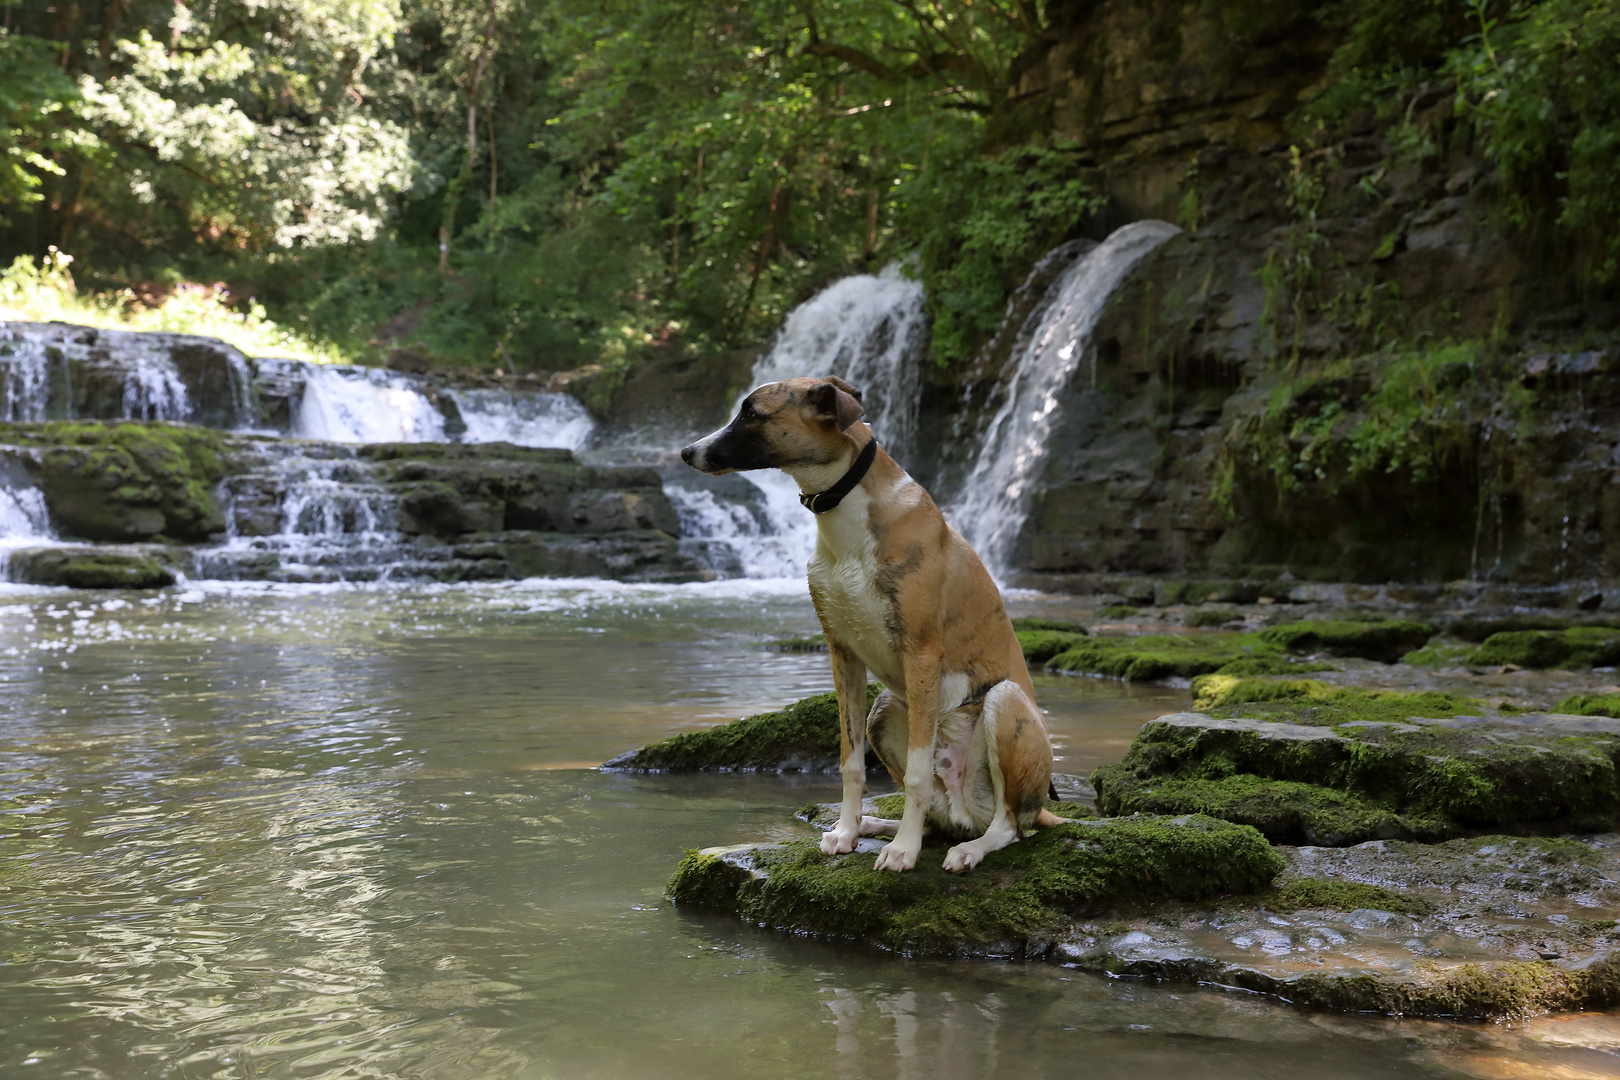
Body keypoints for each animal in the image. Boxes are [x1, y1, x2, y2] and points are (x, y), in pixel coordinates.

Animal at [677, 375, 1056, 874]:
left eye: (752, 414)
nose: (686, 452)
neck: (847, 515)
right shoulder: (843, 655)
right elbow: (850, 762)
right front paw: (847, 831)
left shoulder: (920, 654)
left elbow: (917, 775)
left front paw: (904, 851)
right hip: (884, 707)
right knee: (943, 818)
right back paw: (881, 825)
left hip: (1004, 704)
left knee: (1009, 824)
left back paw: (969, 847)